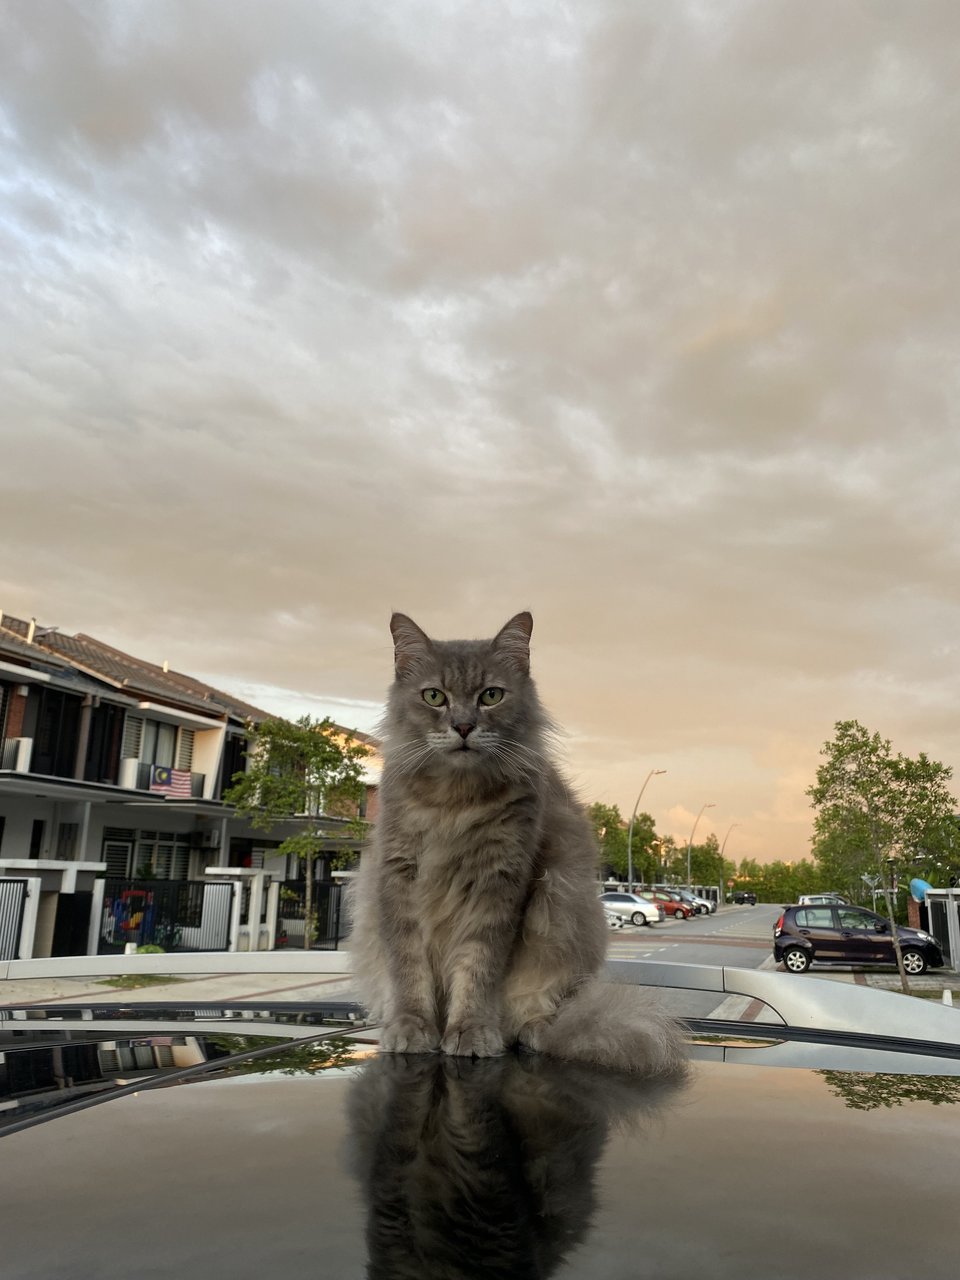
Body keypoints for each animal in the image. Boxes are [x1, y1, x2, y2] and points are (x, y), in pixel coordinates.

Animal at [350, 614, 686, 1075]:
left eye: (491, 696)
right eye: (434, 696)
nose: (463, 726)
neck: (453, 801)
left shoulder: (500, 885)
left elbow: (477, 971)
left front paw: (470, 1032)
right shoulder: (398, 879)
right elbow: (408, 969)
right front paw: (411, 1029)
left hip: (563, 914)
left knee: (536, 1015)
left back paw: (529, 1031)